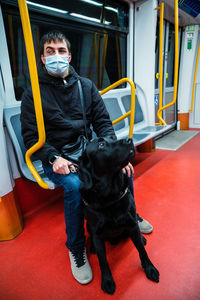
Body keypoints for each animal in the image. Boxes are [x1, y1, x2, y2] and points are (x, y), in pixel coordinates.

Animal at [78, 137, 159, 294]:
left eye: (112, 138)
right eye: (101, 144)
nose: (129, 139)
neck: (110, 196)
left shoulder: (132, 224)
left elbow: (142, 251)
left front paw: (150, 268)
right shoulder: (97, 234)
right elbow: (103, 261)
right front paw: (107, 281)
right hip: (88, 226)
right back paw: (92, 247)